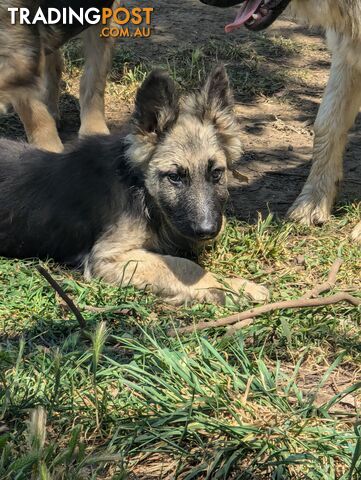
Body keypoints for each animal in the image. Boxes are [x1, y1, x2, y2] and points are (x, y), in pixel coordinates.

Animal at [0, 65, 268, 306]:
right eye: (175, 177)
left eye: (216, 173)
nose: (207, 230)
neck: (139, 188)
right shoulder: (109, 257)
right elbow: (183, 265)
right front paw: (234, 287)